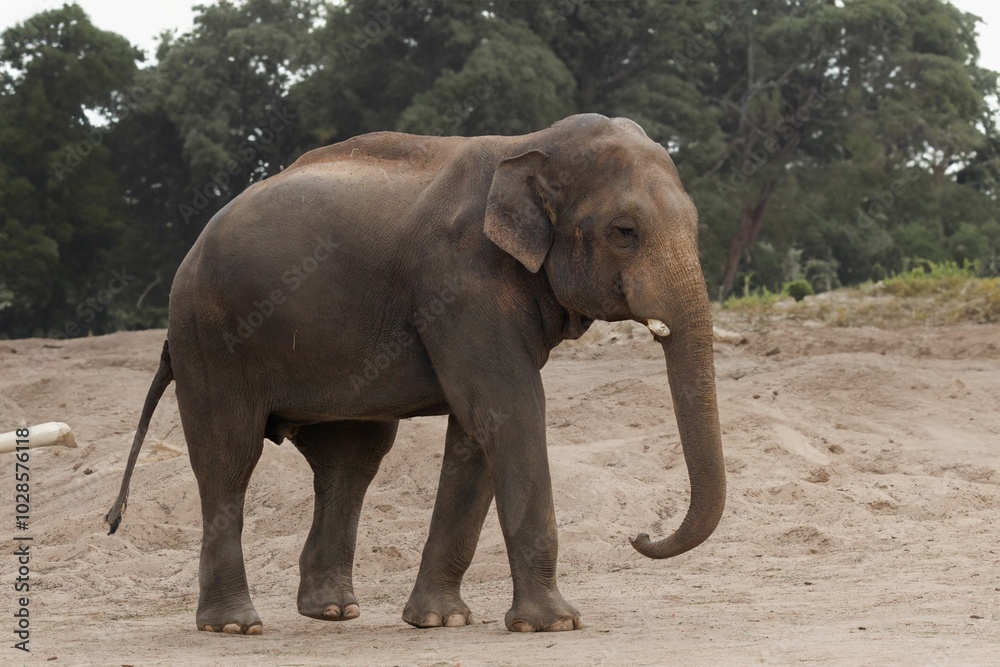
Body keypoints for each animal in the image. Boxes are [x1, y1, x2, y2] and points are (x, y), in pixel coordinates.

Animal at [105, 113, 726, 636]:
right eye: (624, 231)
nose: (639, 534)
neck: (529, 146)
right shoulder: (460, 282)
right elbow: (512, 407)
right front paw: (555, 624)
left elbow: (478, 430)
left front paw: (440, 621)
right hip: (211, 339)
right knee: (229, 456)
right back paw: (233, 626)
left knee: (351, 459)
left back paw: (332, 611)